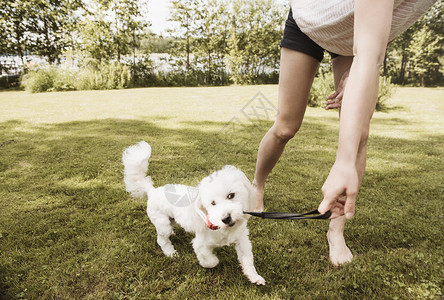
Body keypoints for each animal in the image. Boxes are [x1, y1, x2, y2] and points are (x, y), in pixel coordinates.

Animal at [121, 141, 266, 286]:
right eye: (212, 203)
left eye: (231, 195)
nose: (226, 218)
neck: (224, 230)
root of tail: (152, 191)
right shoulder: (200, 244)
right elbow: (211, 261)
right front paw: (211, 261)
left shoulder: (241, 239)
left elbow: (247, 259)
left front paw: (254, 276)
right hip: (162, 224)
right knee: (162, 240)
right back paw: (170, 253)